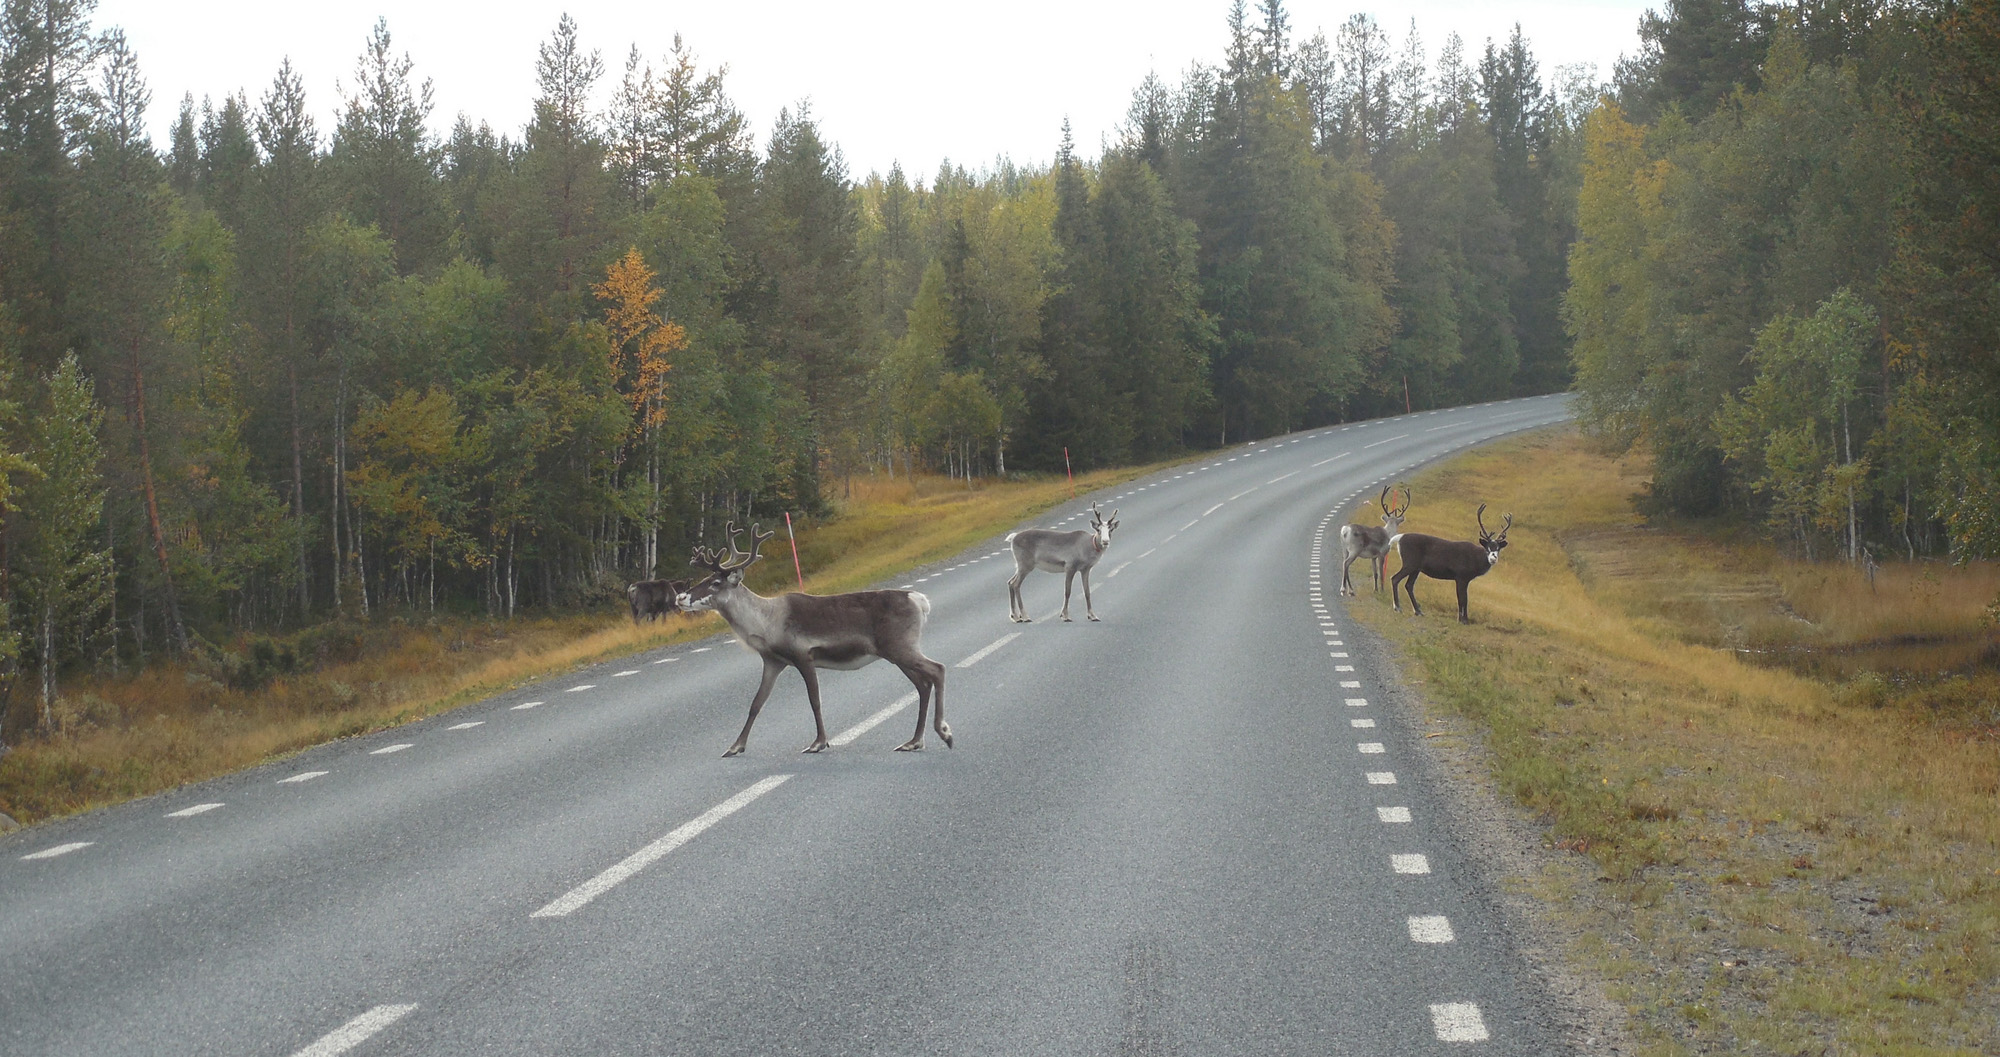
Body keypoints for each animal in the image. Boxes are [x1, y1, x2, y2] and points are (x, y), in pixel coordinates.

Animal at [677, 522, 950, 757]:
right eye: (702, 580)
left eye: (715, 582)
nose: (680, 597)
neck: (765, 624)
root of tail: (920, 601)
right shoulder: (773, 662)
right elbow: (756, 703)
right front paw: (735, 747)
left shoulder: (803, 656)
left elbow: (815, 701)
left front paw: (819, 743)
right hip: (896, 653)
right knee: (923, 684)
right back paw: (914, 742)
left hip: (900, 647)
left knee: (937, 669)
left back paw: (943, 732)